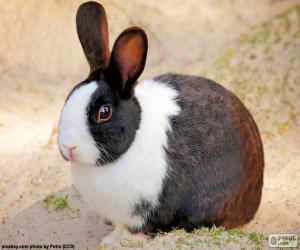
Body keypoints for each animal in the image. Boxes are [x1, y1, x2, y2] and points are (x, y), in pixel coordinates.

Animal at [56, 1, 262, 244]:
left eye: (104, 112)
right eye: (68, 97)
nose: (68, 147)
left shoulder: (144, 213)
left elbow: (135, 230)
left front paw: (117, 243)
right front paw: (109, 240)